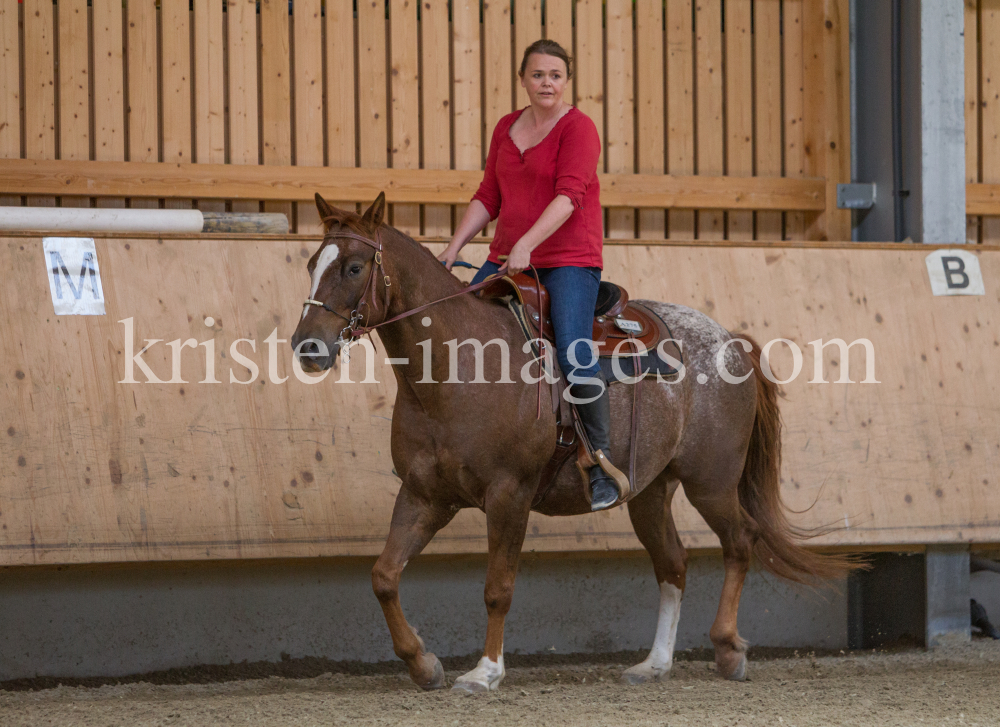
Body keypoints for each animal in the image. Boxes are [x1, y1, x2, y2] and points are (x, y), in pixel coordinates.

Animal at [290, 192, 852, 692]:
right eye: (313, 263)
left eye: (355, 267)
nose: (307, 347)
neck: (457, 365)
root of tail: (732, 342)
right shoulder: (426, 495)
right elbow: (384, 576)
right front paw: (423, 664)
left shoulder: (509, 495)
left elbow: (498, 588)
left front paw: (485, 672)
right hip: (649, 492)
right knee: (673, 562)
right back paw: (654, 664)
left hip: (710, 482)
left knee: (740, 541)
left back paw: (729, 648)